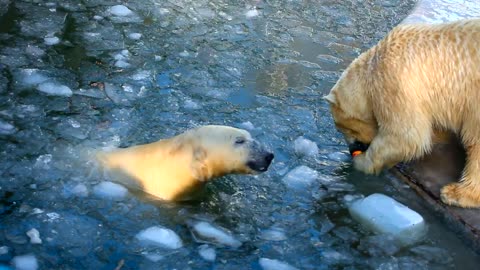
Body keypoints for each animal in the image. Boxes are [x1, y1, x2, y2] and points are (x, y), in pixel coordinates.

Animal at [324, 19, 480, 208]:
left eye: (345, 129)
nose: (352, 149)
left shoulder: (395, 83)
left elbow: (406, 136)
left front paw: (361, 163)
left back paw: (457, 192)